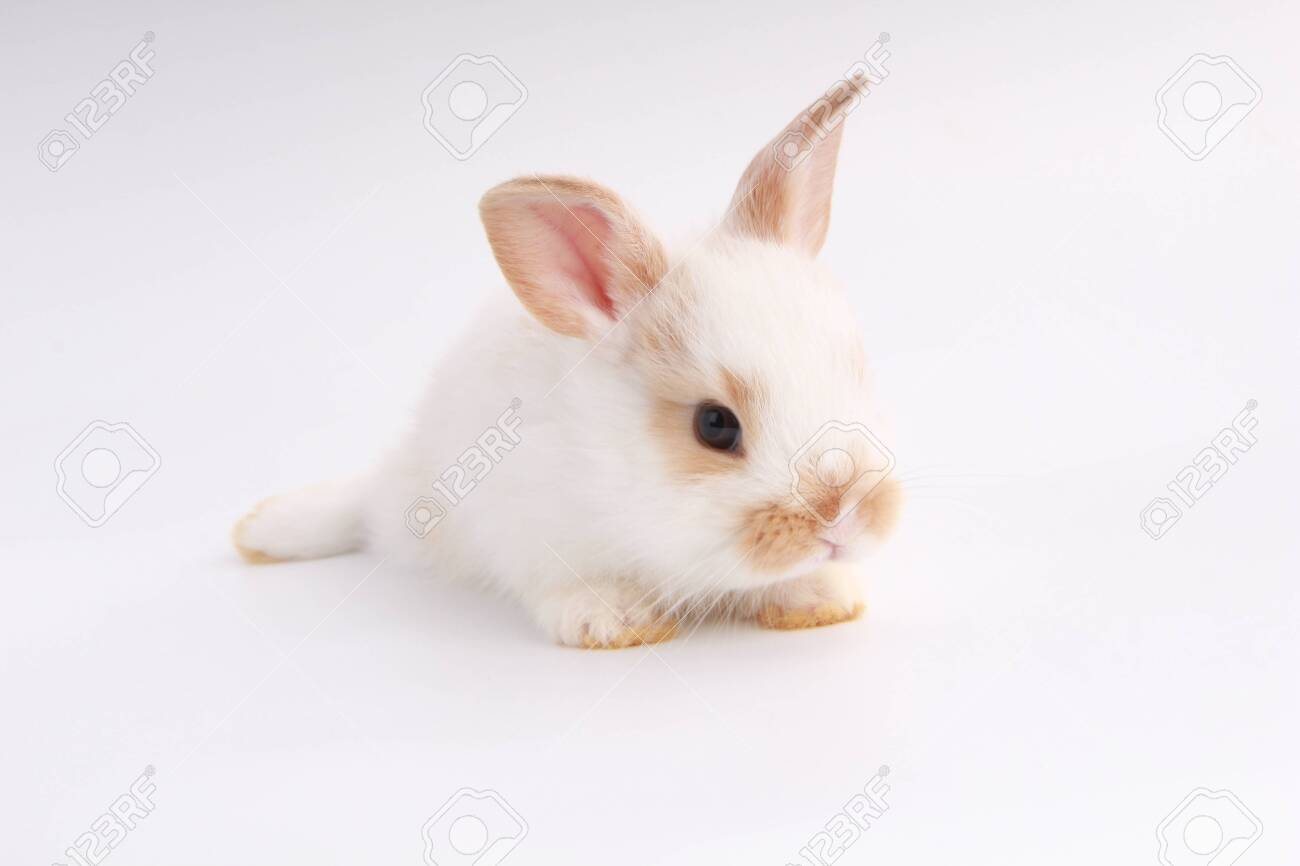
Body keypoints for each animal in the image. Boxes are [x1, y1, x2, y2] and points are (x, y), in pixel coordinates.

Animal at [233, 81, 902, 649]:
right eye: (715, 426)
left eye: (855, 373)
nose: (844, 519)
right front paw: (616, 621)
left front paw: (821, 598)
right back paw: (262, 529)